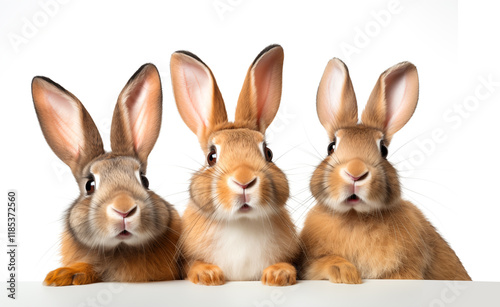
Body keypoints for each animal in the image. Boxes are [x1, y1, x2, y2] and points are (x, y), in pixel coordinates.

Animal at [170, 45, 298, 286]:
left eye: (268, 153)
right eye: (211, 157)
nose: (244, 180)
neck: (241, 222)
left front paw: (278, 274)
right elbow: (193, 265)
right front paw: (208, 274)